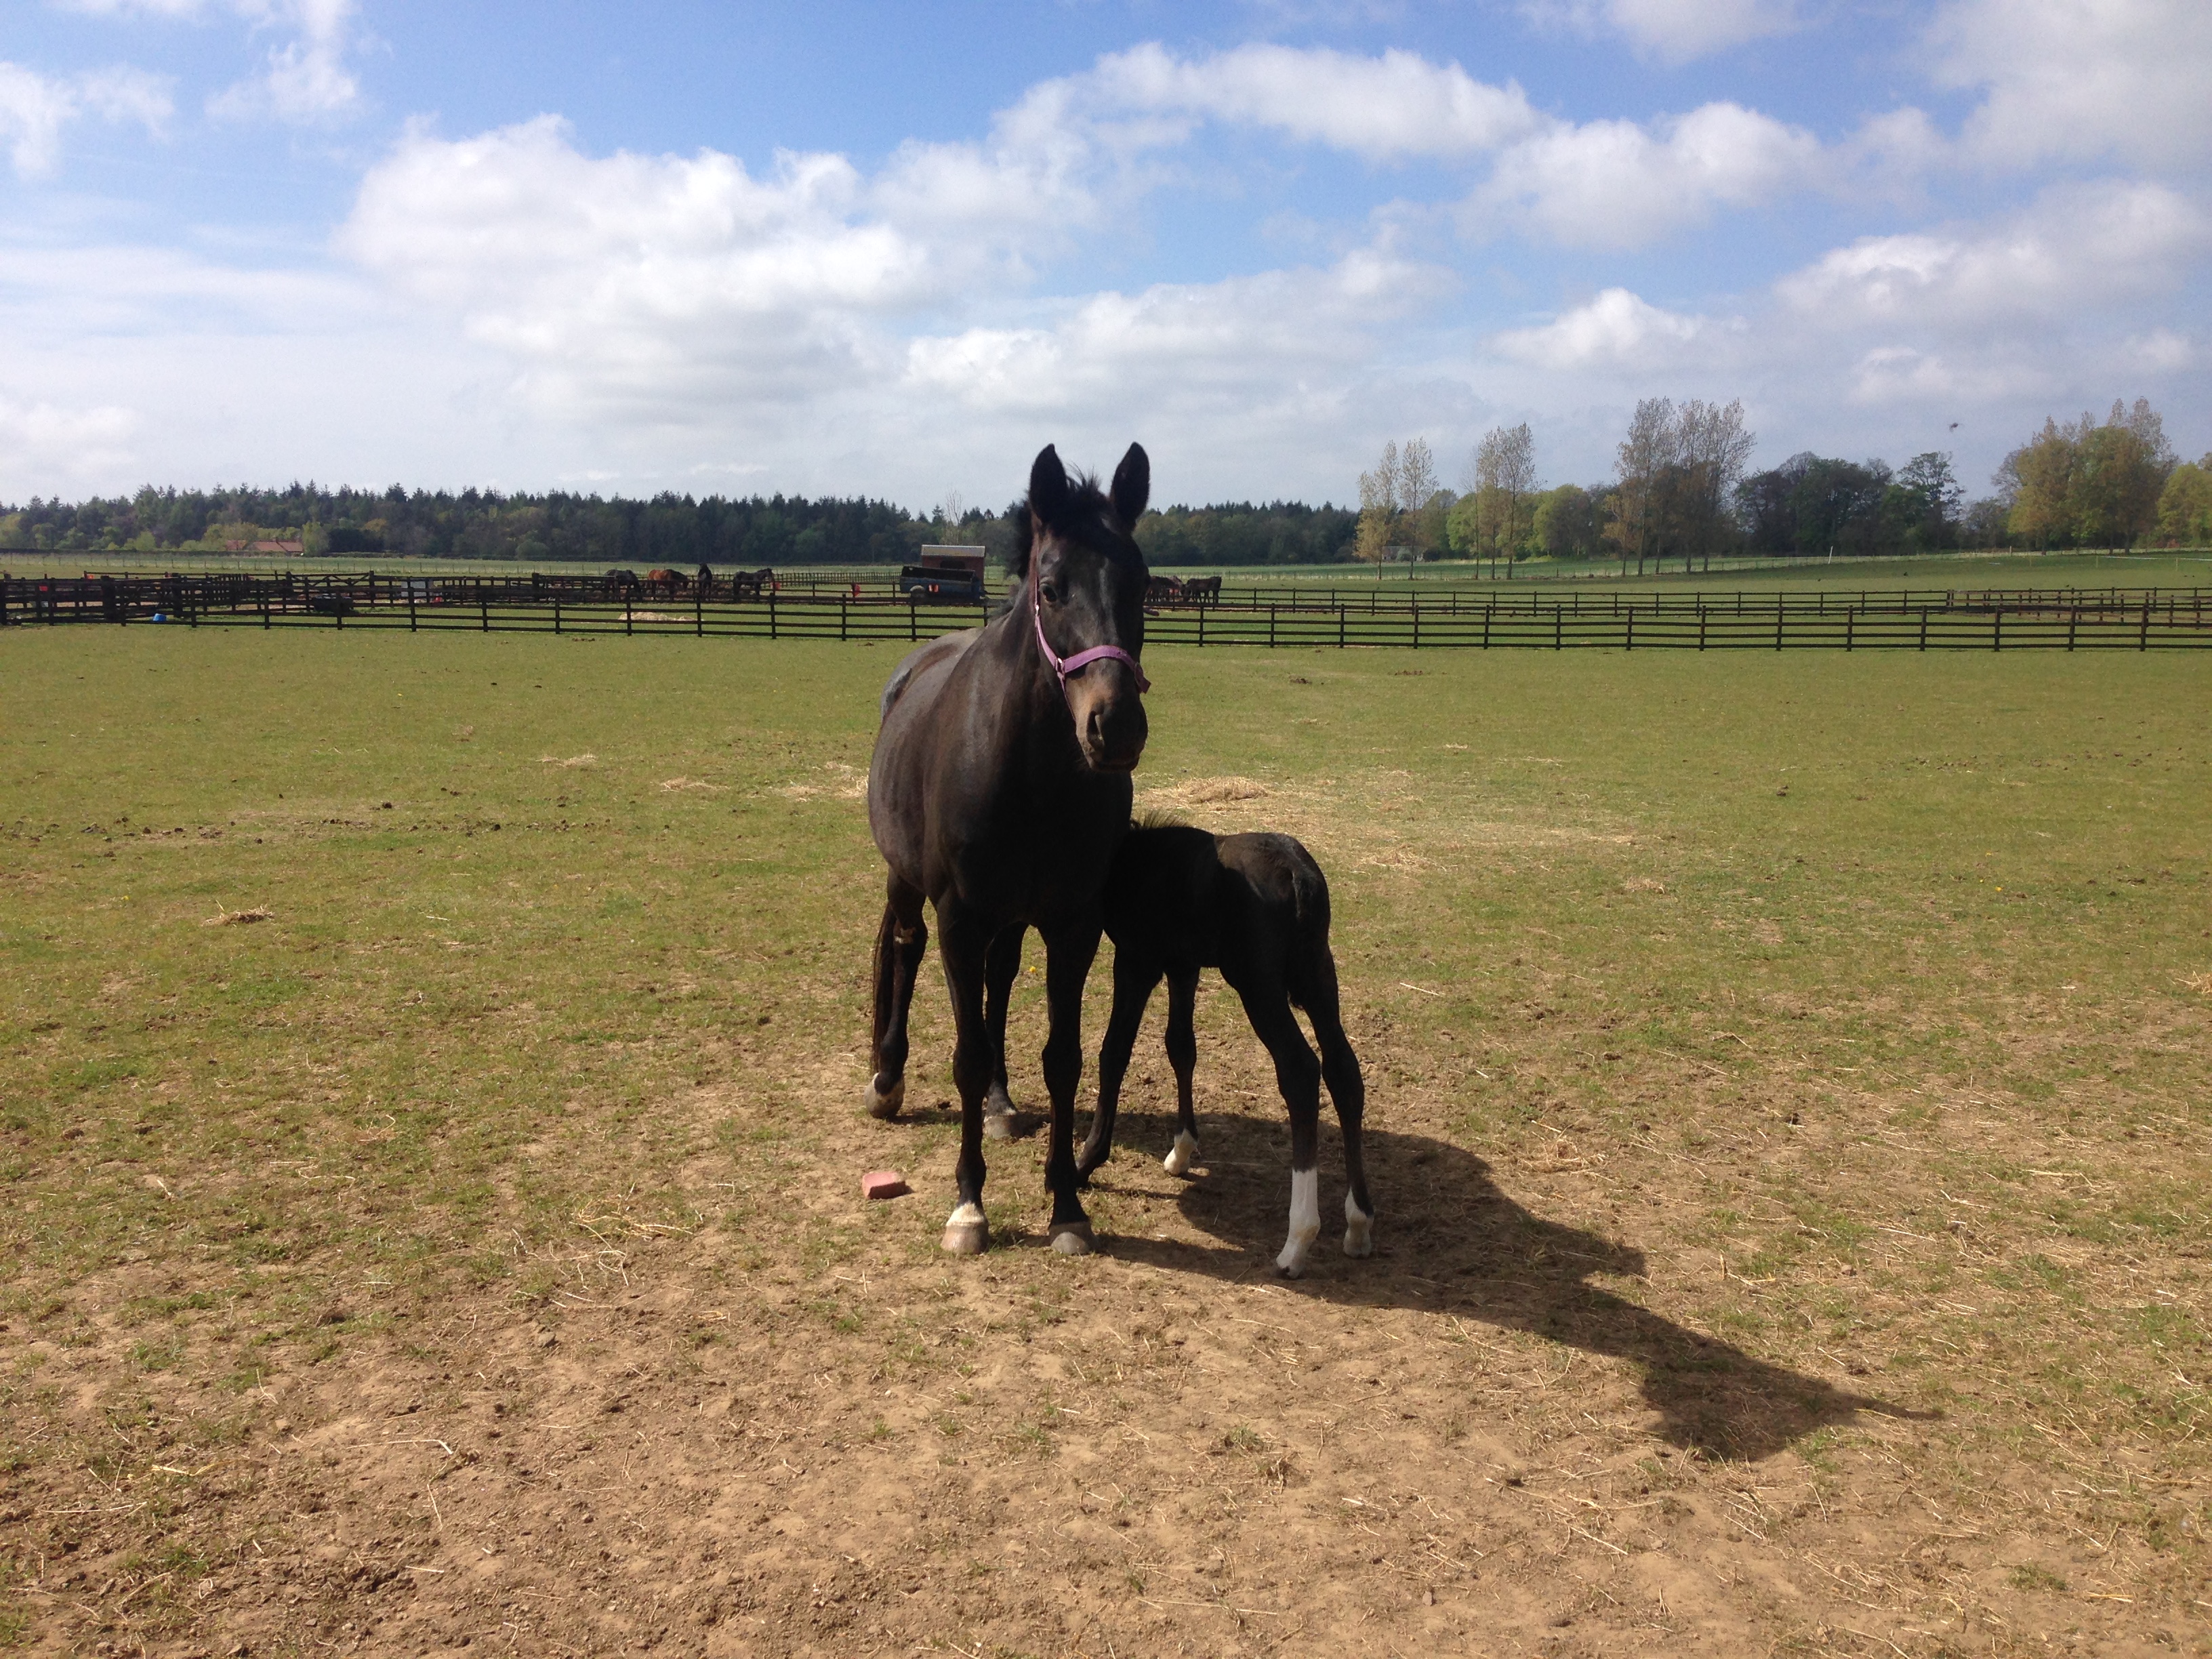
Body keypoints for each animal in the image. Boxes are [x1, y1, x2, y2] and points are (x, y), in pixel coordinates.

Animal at [866, 442, 1153, 1256]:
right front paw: (969, 1204)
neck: (1026, 770)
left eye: (1143, 584)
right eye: (1051, 588)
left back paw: (1000, 1102)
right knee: (903, 945)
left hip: (1014, 917)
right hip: (907, 882)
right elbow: (963, 1057)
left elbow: (1064, 1059)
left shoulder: (1073, 924)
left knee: (999, 979)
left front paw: (1067, 1205)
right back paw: (887, 1077)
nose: (1115, 727)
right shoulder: (961, 919)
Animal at [1075, 822, 1374, 1278]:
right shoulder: (1183, 965)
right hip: (1319, 975)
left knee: (1301, 1071)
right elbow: (1181, 1047)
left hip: (1258, 985)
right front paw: (1182, 1150)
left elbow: (1115, 1052)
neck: (1139, 856)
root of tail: (1297, 874)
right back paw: (1358, 1223)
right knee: (1344, 1073)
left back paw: (1297, 1242)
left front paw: (1086, 1160)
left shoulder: (1137, 960)